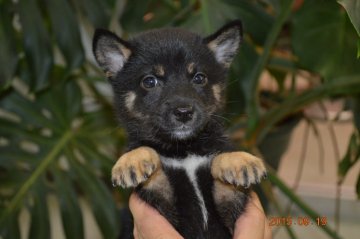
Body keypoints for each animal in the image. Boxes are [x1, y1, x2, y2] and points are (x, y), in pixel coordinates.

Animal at [93, 21, 268, 239]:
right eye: (149, 81)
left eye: (199, 78)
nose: (184, 113)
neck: (184, 150)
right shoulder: (159, 202)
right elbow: (154, 170)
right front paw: (132, 160)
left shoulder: (231, 208)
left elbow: (222, 172)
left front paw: (237, 160)